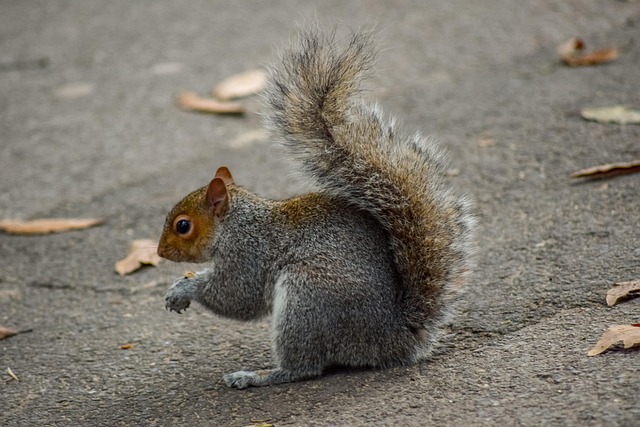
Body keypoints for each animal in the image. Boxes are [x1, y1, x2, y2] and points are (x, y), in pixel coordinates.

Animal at [158, 27, 475, 389]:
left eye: (183, 225)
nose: (160, 252)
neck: (237, 222)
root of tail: (390, 337)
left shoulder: (248, 253)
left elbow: (237, 296)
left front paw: (186, 288)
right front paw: (177, 289)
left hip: (306, 297)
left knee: (304, 367)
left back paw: (258, 376)